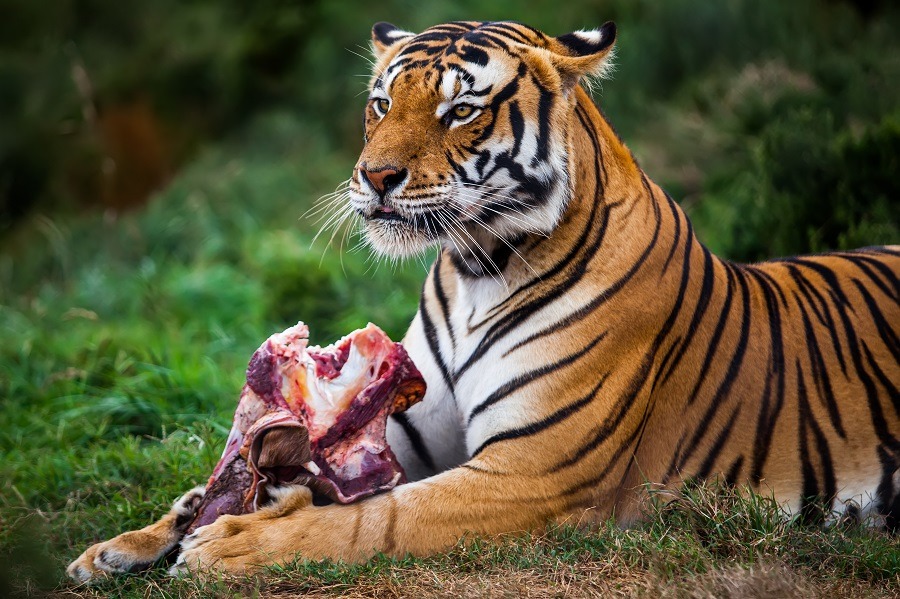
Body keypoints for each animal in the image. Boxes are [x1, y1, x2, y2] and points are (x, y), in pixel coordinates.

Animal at [68, 18, 900, 580]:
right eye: (380, 103)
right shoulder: (403, 433)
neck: (477, 267)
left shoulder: (531, 472)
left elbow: (375, 519)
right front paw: (120, 544)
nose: (374, 177)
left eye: (460, 110)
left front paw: (233, 542)